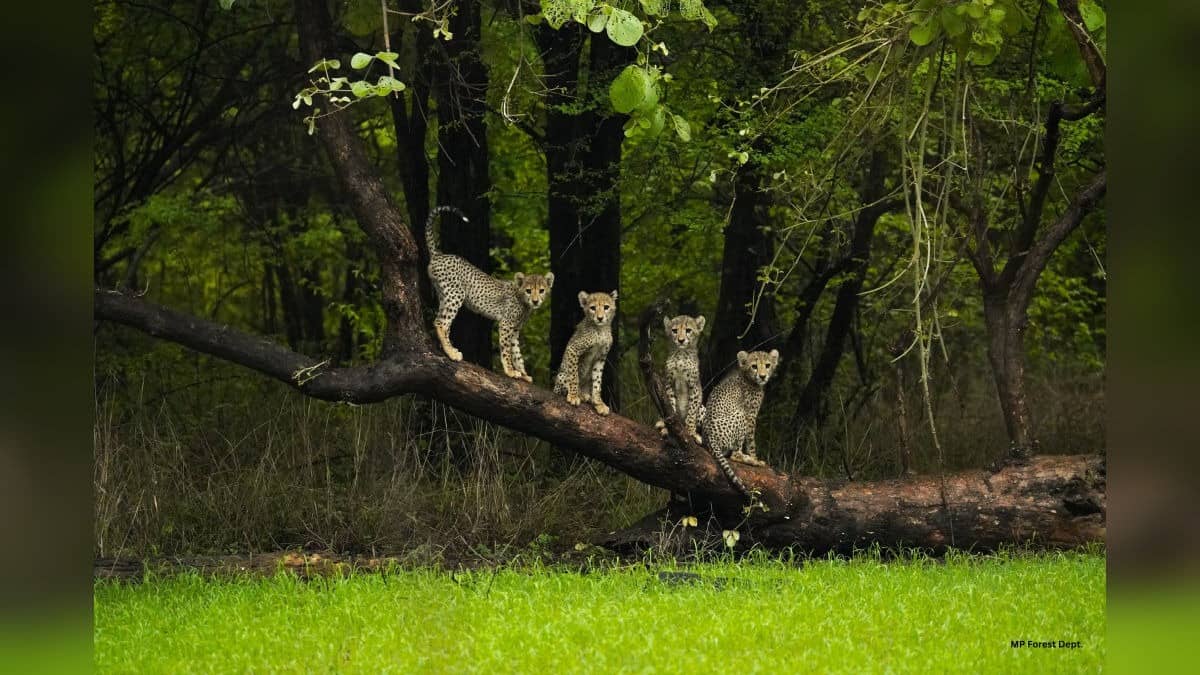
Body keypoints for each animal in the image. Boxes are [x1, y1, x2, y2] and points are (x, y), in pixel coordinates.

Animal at [425, 205, 553, 382]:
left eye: (541, 291)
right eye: (528, 291)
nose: (535, 301)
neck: (523, 302)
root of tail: (440, 254)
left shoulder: (515, 329)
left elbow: (517, 353)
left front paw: (524, 374)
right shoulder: (506, 324)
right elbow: (506, 350)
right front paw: (510, 371)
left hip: (444, 295)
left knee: (444, 322)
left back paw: (451, 348)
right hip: (456, 294)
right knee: (441, 322)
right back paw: (451, 353)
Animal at [653, 314, 706, 443]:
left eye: (688, 330)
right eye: (674, 330)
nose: (681, 340)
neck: (681, 353)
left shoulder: (694, 386)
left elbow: (691, 411)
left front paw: (691, 431)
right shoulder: (668, 383)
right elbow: (670, 404)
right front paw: (670, 427)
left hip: (703, 409)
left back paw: (696, 434)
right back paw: (662, 425)